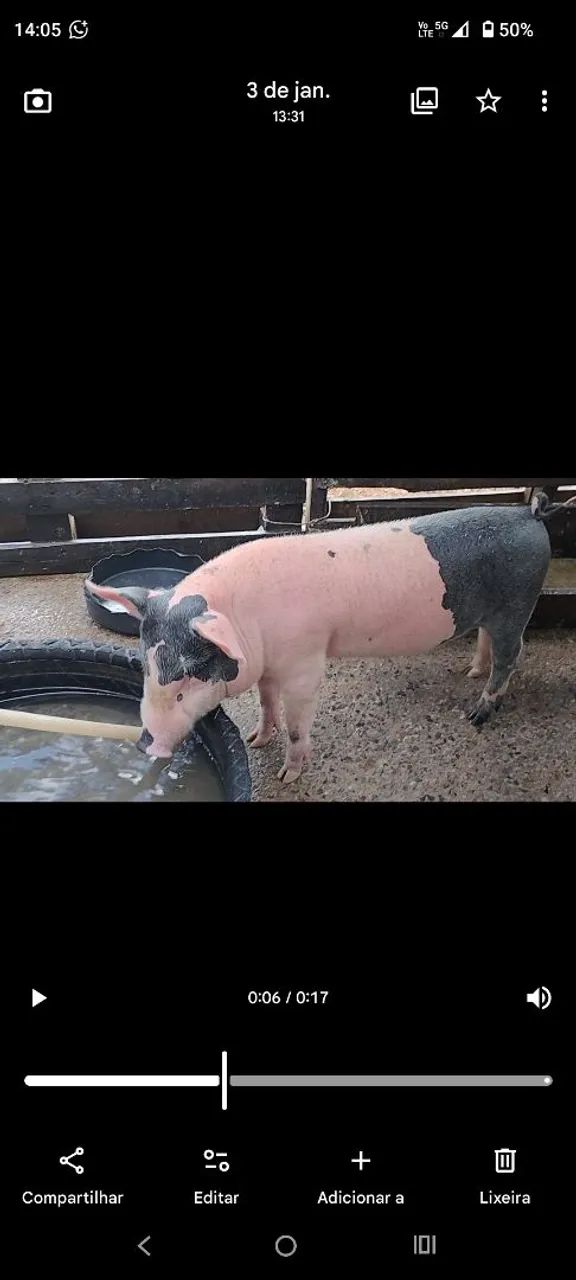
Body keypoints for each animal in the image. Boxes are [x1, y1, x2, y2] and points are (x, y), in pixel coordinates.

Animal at [85, 501, 556, 783]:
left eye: (185, 681)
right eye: (146, 668)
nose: (146, 744)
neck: (249, 620)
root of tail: (530, 516)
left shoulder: (304, 662)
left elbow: (296, 725)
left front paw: (286, 777)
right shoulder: (269, 663)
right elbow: (265, 702)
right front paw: (256, 740)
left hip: (518, 603)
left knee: (513, 654)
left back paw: (477, 714)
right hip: (492, 612)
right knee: (487, 642)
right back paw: (470, 671)